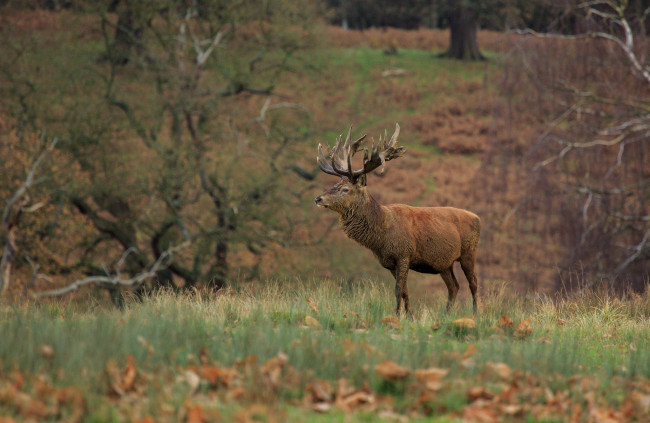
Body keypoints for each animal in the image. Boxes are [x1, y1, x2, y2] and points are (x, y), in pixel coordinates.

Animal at [312, 124, 478, 316]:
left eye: (345, 189)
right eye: (334, 185)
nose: (318, 198)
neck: (382, 234)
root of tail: (478, 218)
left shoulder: (404, 254)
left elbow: (398, 289)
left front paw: (398, 315)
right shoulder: (390, 262)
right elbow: (405, 290)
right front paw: (409, 315)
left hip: (469, 251)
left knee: (473, 284)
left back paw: (476, 313)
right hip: (444, 263)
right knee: (454, 286)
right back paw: (446, 314)